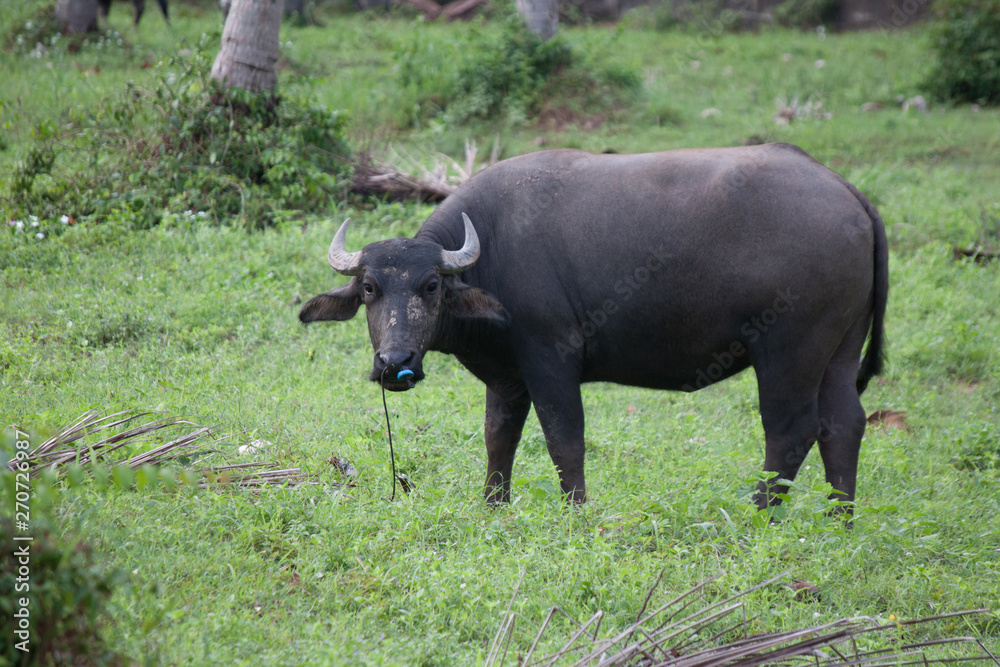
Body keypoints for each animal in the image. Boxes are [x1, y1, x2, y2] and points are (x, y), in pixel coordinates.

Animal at [301, 144, 888, 510]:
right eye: (370, 288)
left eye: (430, 286)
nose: (394, 363)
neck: (493, 250)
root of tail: (847, 192)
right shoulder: (506, 377)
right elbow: (497, 438)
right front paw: (493, 506)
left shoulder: (551, 359)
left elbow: (565, 439)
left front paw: (575, 510)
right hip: (838, 351)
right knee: (844, 424)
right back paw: (840, 517)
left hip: (789, 351)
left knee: (790, 430)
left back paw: (759, 515)